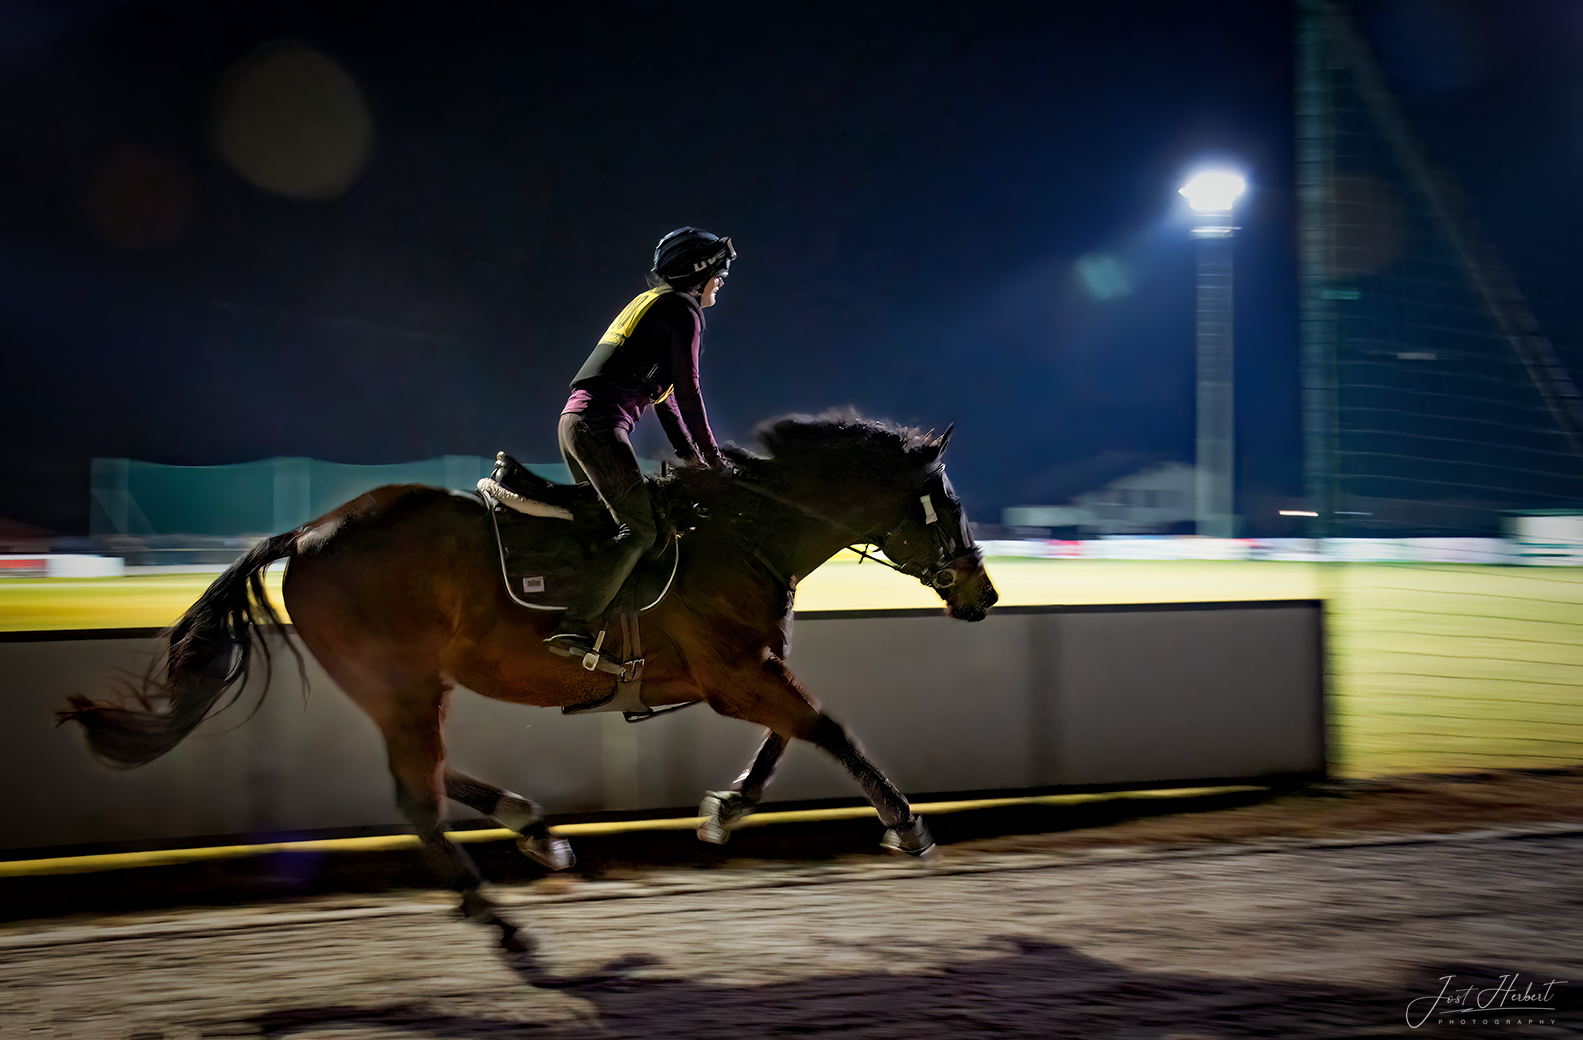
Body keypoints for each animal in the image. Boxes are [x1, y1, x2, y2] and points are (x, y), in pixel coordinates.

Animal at [68, 414, 1000, 949]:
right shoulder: (732, 670)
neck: (741, 532)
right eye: (946, 504)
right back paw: (500, 918)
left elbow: (788, 736)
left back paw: (533, 829)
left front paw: (724, 809)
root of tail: (309, 530)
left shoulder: (742, 671)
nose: (984, 594)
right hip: (403, 683)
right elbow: (826, 727)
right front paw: (907, 826)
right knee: (417, 796)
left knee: (434, 776)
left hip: (404, 686)